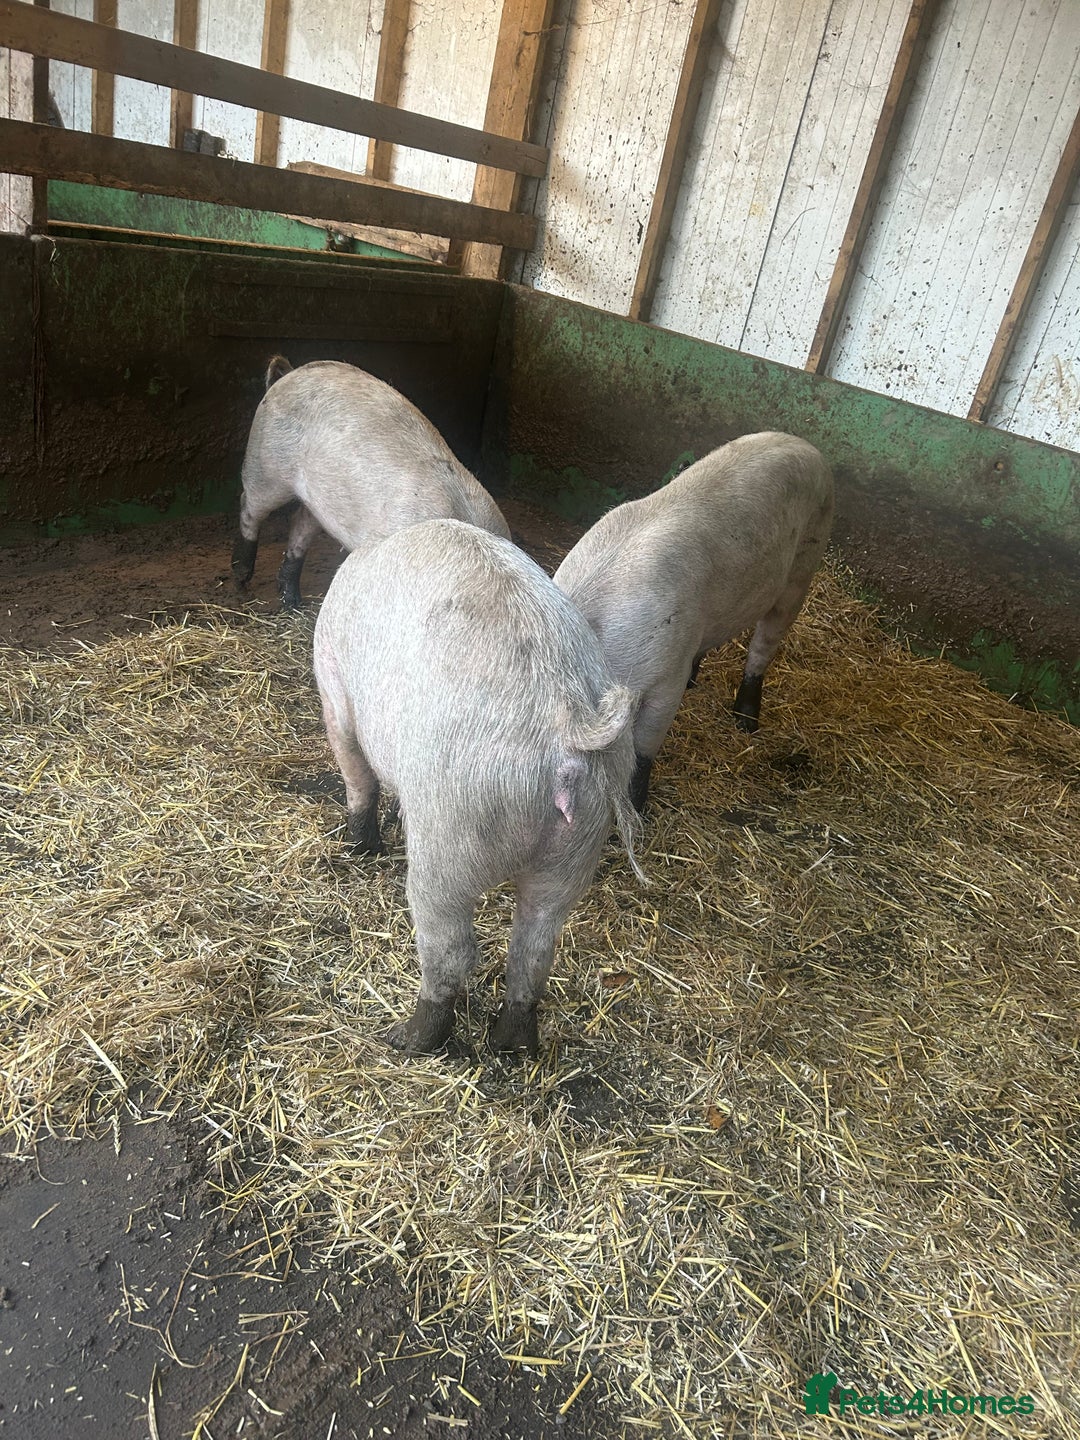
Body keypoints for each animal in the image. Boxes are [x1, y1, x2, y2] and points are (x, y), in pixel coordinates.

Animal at [231, 357, 511, 608]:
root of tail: (289, 373)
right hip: (266, 464)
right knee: (249, 506)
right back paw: (241, 580)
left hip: (320, 499)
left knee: (300, 523)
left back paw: (292, 602)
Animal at [313, 518, 645, 1058]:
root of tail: (566, 721)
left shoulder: (334, 689)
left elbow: (356, 774)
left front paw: (358, 847)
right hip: (578, 842)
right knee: (534, 946)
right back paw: (513, 1044)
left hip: (451, 827)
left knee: (452, 946)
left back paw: (407, 1038)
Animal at [553, 432, 834, 811]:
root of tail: (806, 445)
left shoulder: (664, 679)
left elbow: (643, 749)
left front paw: (638, 810)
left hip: (804, 565)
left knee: (765, 643)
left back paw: (746, 721)